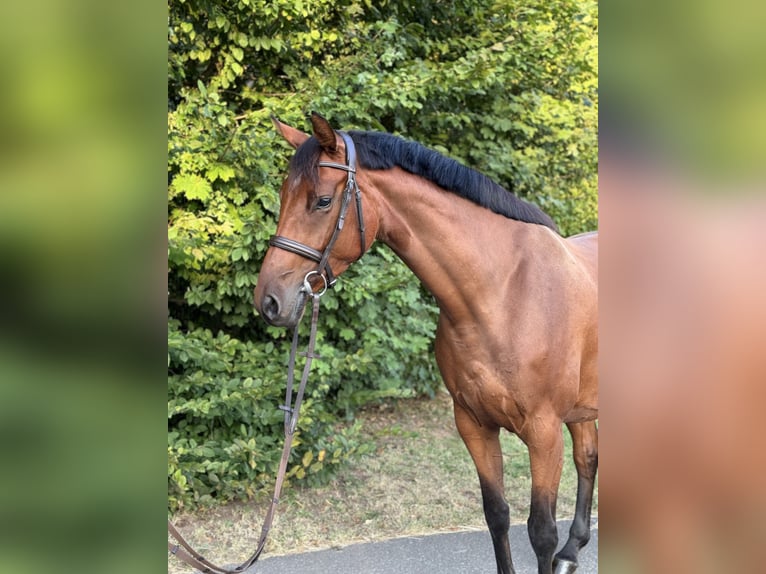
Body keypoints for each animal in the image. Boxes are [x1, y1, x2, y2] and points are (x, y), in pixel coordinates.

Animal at [254, 113, 600, 574]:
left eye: (323, 202)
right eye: (283, 196)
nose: (269, 300)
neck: (503, 294)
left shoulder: (544, 433)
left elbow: (541, 531)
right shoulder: (473, 424)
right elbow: (497, 515)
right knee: (588, 457)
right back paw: (573, 550)